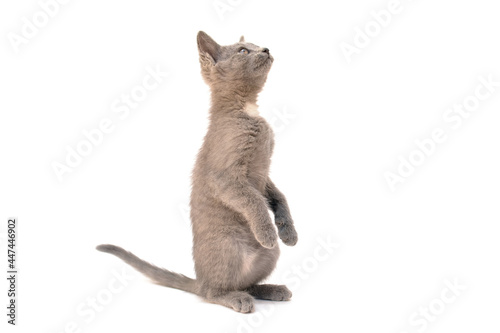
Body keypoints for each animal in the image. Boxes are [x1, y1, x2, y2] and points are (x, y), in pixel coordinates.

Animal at [97, 30, 296, 312]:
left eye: (256, 45)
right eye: (243, 51)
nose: (266, 49)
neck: (247, 109)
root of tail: (199, 280)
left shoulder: (264, 173)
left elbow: (279, 196)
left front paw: (288, 231)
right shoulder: (227, 178)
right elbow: (254, 200)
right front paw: (268, 231)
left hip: (270, 255)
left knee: (245, 283)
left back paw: (272, 289)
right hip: (230, 246)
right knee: (214, 291)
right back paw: (237, 298)